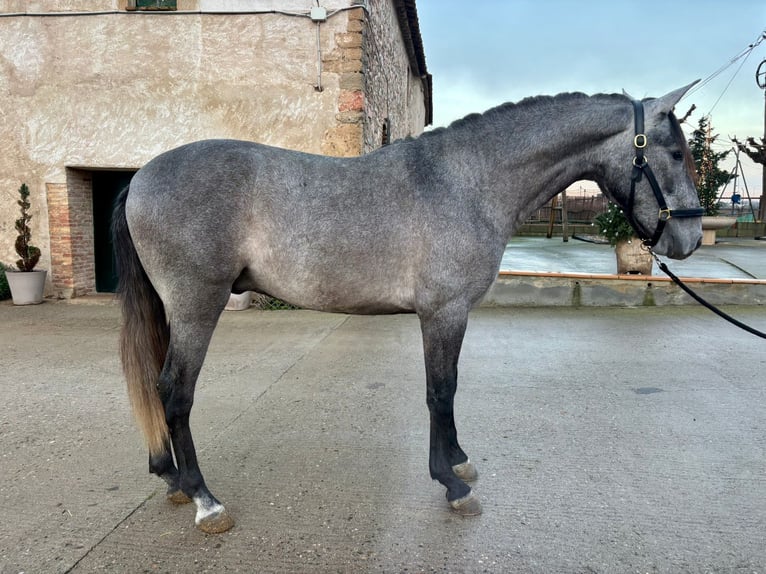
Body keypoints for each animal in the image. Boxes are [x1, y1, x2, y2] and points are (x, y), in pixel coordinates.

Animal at [113, 83, 703, 533]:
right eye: (675, 153)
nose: (691, 238)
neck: (467, 181)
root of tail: (140, 177)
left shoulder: (450, 315)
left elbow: (449, 389)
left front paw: (459, 461)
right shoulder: (444, 312)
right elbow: (441, 391)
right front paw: (452, 483)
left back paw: (170, 477)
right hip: (197, 304)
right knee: (175, 391)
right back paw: (204, 500)